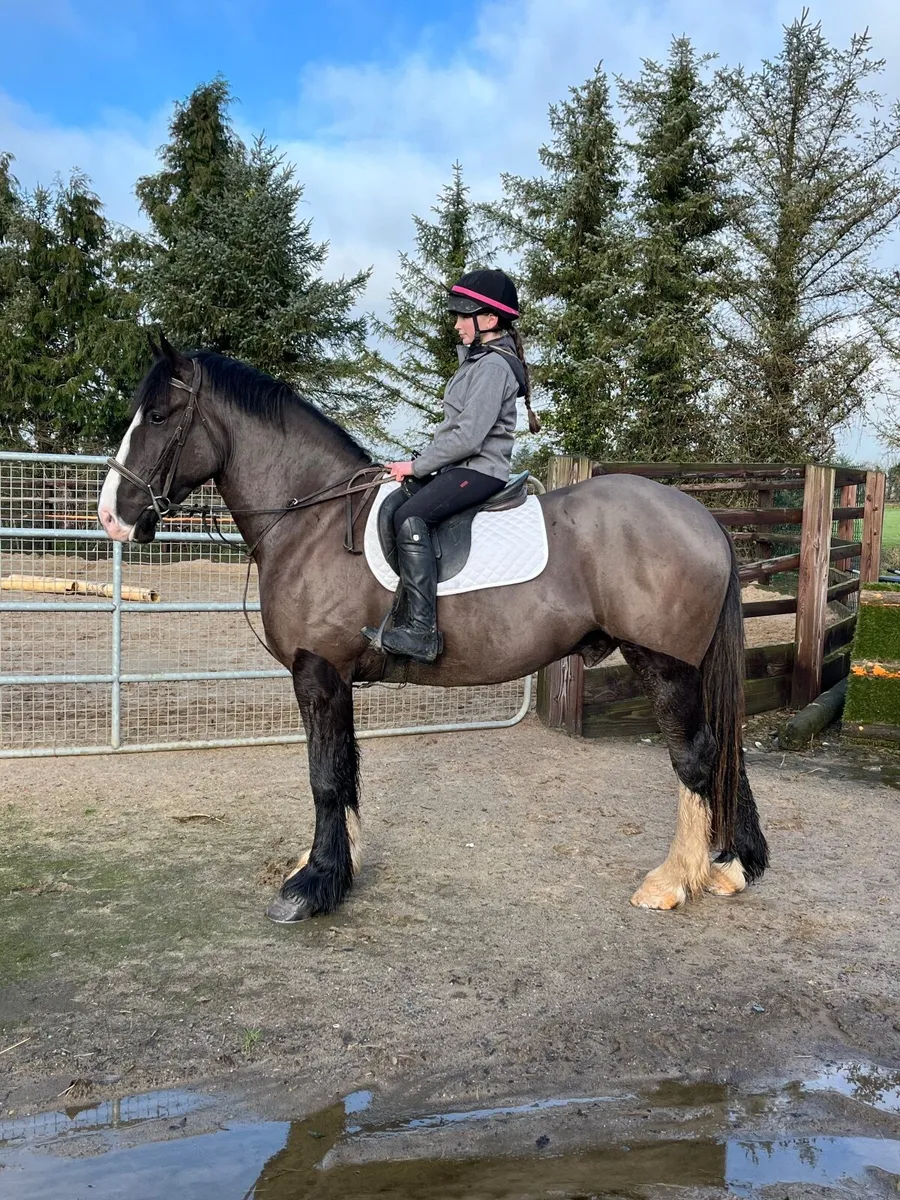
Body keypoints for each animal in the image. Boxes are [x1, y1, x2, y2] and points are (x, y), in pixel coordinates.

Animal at [98, 337, 768, 924]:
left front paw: (312, 887)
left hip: (664, 665)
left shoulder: (317, 672)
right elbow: (344, 770)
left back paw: (673, 881)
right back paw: (733, 866)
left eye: (158, 416)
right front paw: (334, 867)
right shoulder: (335, 678)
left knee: (696, 755)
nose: (111, 517)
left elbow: (324, 777)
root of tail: (701, 516)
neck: (312, 520)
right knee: (725, 748)